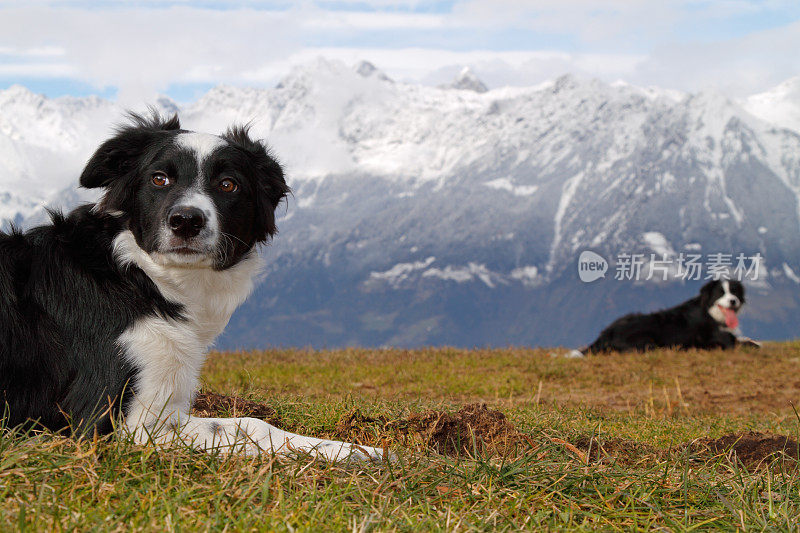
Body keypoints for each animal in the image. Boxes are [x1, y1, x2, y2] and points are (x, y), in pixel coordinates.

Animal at [0, 113, 382, 462]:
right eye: (159, 179)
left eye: (228, 184)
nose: (186, 221)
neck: (140, 276)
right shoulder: (114, 422)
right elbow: (252, 425)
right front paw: (356, 451)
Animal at [568, 278, 756, 358]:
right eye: (720, 293)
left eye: (735, 291)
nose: (733, 301)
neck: (710, 313)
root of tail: (606, 334)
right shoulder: (721, 341)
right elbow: (746, 342)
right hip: (646, 339)